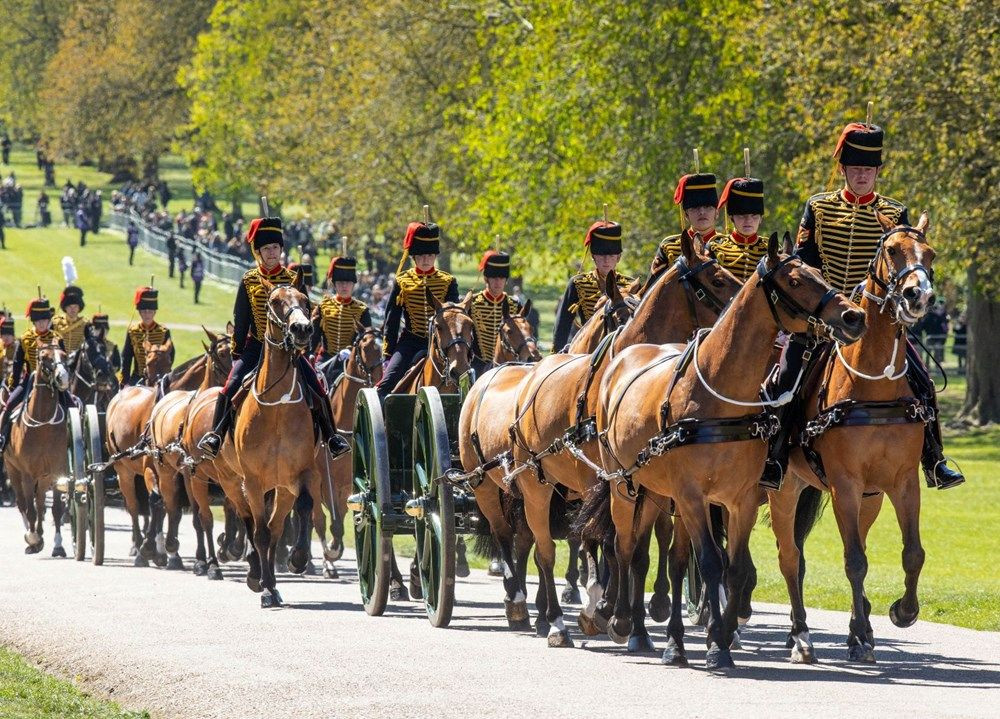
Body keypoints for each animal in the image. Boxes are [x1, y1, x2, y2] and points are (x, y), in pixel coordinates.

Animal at [4, 344, 70, 556]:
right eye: (45, 357)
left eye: (64, 356)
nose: (63, 377)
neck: (43, 424)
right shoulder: (27, 473)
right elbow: (30, 509)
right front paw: (32, 538)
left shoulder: (57, 471)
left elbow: (56, 509)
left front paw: (58, 545)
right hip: (13, 470)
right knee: (23, 504)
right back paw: (31, 536)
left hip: (44, 476)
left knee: (41, 504)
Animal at [105, 338, 178, 564]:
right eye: (149, 362)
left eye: (169, 362)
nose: (162, 381)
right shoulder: (150, 469)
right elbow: (155, 501)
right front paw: (149, 547)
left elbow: (167, 505)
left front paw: (164, 549)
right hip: (123, 470)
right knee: (134, 506)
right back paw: (138, 545)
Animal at [592, 235, 868, 668]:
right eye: (795, 279)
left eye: (818, 272)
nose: (853, 316)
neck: (719, 395)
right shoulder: (692, 495)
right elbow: (709, 562)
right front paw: (715, 642)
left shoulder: (740, 499)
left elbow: (732, 567)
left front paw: (720, 635)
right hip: (625, 487)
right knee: (623, 545)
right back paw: (623, 621)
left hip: (658, 494)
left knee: (662, 556)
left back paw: (663, 634)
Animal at [768, 212, 940, 664]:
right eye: (892, 250)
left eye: (930, 254)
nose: (918, 296)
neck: (875, 385)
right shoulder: (844, 483)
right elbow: (854, 562)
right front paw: (863, 630)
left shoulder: (902, 482)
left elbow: (912, 553)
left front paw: (901, 612)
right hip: (785, 489)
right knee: (790, 557)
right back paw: (800, 635)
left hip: (870, 497)